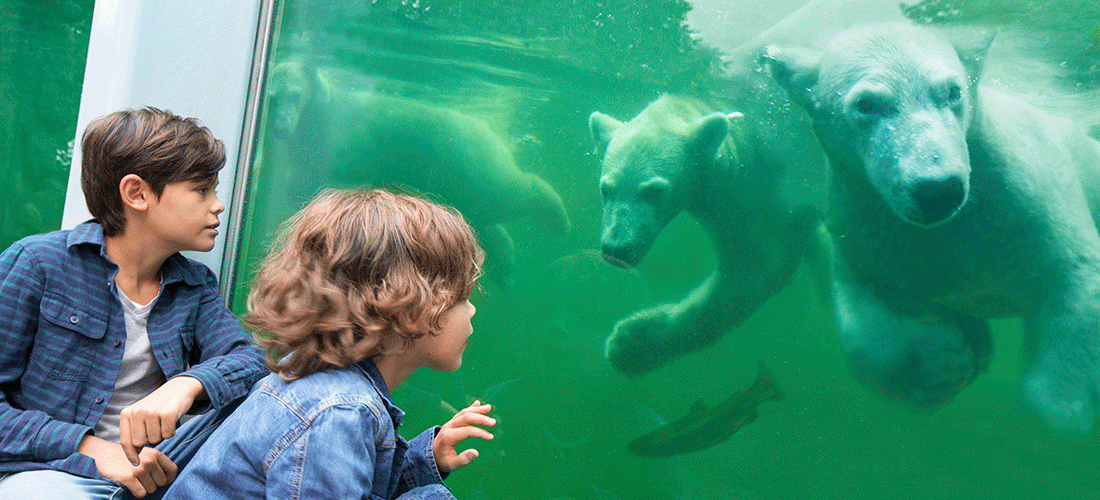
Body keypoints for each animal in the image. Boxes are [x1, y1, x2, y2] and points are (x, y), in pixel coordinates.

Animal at [266, 58, 572, 285]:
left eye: (295, 94)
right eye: (272, 98)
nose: (281, 127)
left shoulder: (343, 130)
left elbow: (341, 163)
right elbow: (301, 180)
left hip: (465, 157)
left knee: (509, 190)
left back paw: (558, 222)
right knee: (489, 222)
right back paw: (504, 268)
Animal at [594, 87, 827, 375]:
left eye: (654, 191)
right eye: (606, 189)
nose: (616, 250)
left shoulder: (756, 196)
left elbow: (754, 270)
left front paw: (627, 344)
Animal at [765, 23, 1100, 432]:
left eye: (952, 91)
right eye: (866, 103)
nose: (938, 189)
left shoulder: (1025, 197)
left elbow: (1072, 270)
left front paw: (1067, 410)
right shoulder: (865, 224)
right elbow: (863, 315)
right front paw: (943, 364)